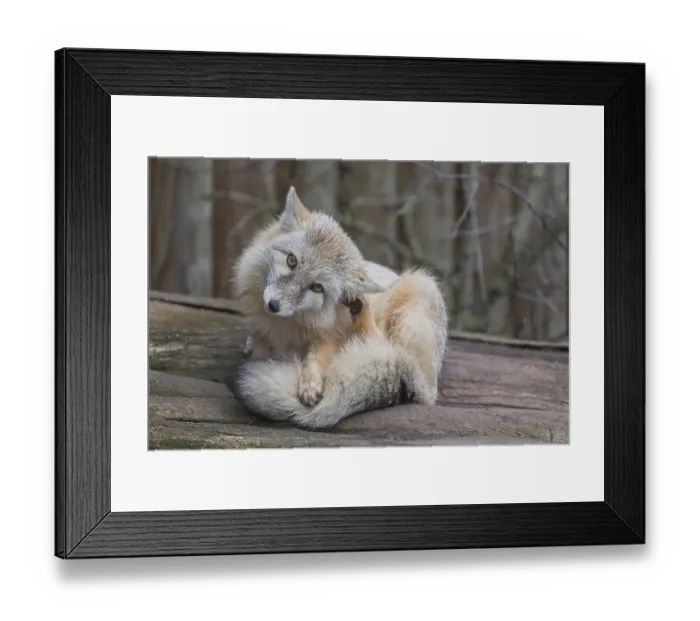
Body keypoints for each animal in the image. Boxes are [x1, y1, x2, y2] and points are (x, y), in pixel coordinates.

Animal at [227, 185, 449, 430]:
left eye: (317, 287)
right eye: (291, 261)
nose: (273, 305)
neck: (286, 327)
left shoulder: (329, 334)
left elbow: (316, 355)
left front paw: (310, 382)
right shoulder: (263, 333)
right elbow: (261, 347)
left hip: (420, 288)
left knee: (385, 347)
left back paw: (360, 307)